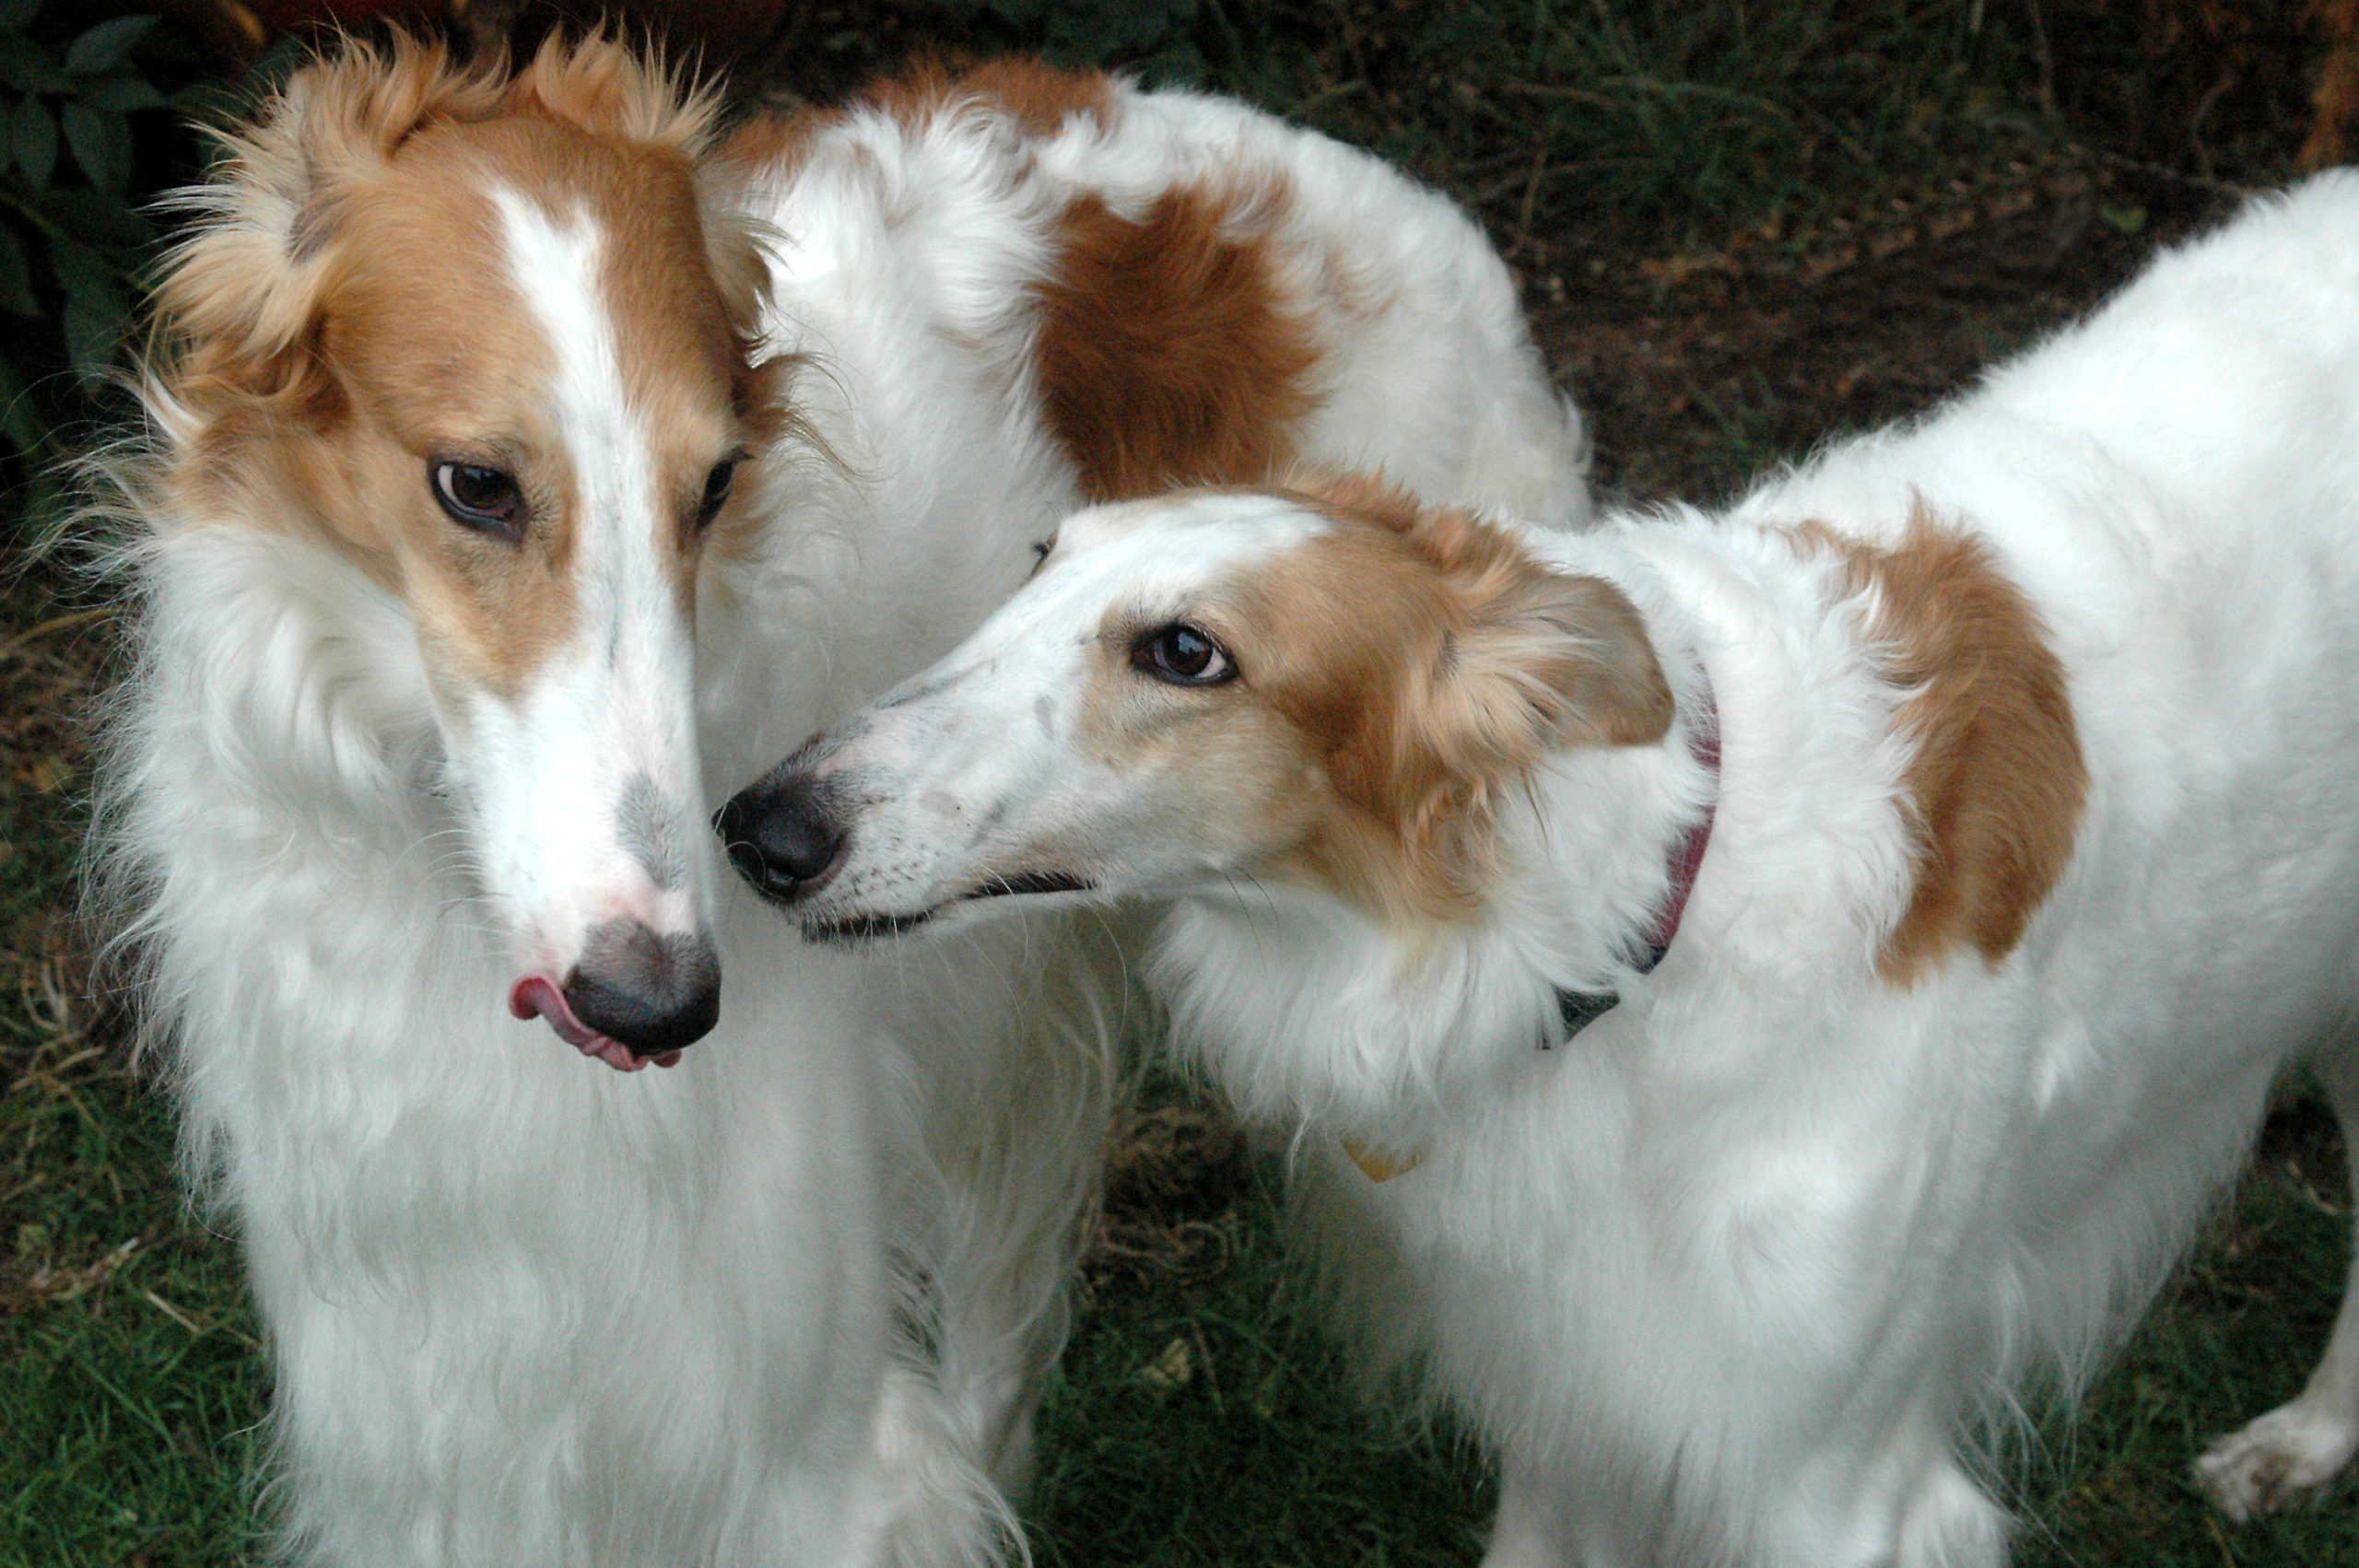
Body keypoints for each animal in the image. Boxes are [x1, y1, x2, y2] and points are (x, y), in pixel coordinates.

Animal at [96, 30, 1585, 1556]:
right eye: (474, 484)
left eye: (716, 485)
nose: (661, 1004)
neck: (436, 861)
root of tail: (1393, 202)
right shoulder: (432, 1375)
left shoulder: (793, 1424)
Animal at [712, 174, 2359, 1565]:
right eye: (1040, 562)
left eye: (1187, 652)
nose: (762, 828)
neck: (1633, 937)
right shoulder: (1573, 1407)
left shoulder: (1836, 1478)